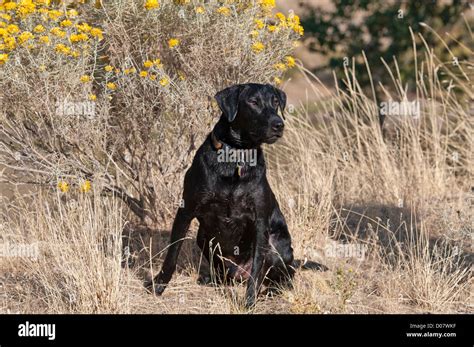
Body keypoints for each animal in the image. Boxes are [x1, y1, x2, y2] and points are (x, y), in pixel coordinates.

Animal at [146, 83, 298, 308]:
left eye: (276, 102)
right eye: (253, 102)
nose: (278, 124)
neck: (236, 157)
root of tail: (238, 273)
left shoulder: (260, 222)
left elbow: (257, 269)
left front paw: (249, 302)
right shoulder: (185, 211)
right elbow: (172, 254)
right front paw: (158, 286)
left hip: (278, 245)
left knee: (284, 278)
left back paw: (269, 290)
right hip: (203, 237)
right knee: (222, 273)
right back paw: (211, 279)